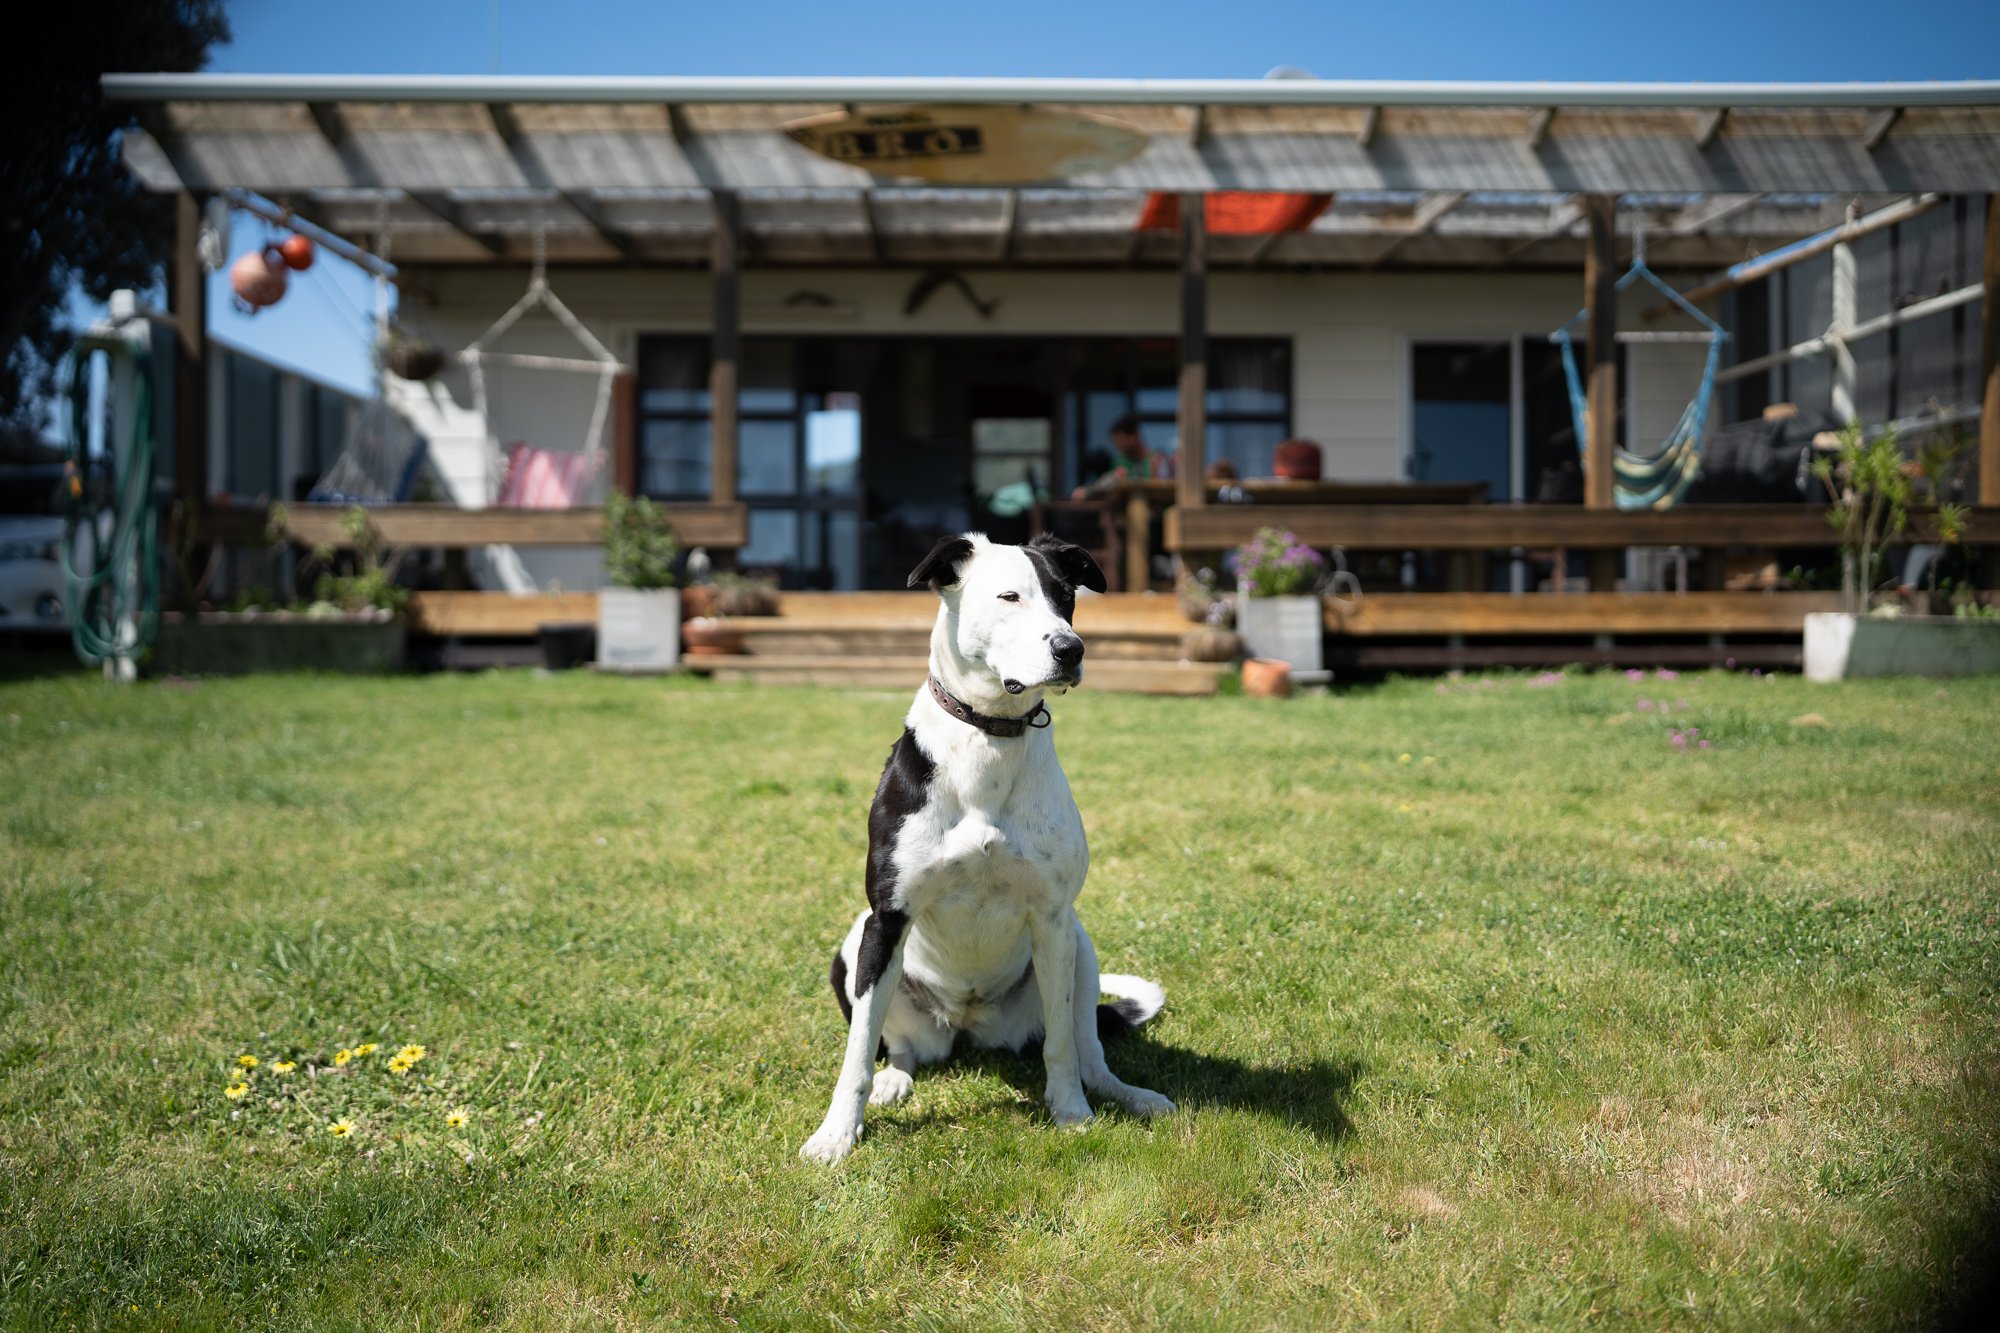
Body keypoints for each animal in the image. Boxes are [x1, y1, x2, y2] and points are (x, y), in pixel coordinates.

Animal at [796, 536, 1168, 1160]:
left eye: (1066, 596)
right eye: (1009, 597)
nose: (1071, 649)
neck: (988, 737)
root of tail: (967, 1023)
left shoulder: (1053, 920)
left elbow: (1062, 1045)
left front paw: (1070, 1112)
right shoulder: (886, 918)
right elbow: (857, 1053)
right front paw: (836, 1134)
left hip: (1080, 947)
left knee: (1087, 1046)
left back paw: (1127, 1093)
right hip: (855, 948)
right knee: (898, 1046)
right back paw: (895, 1080)